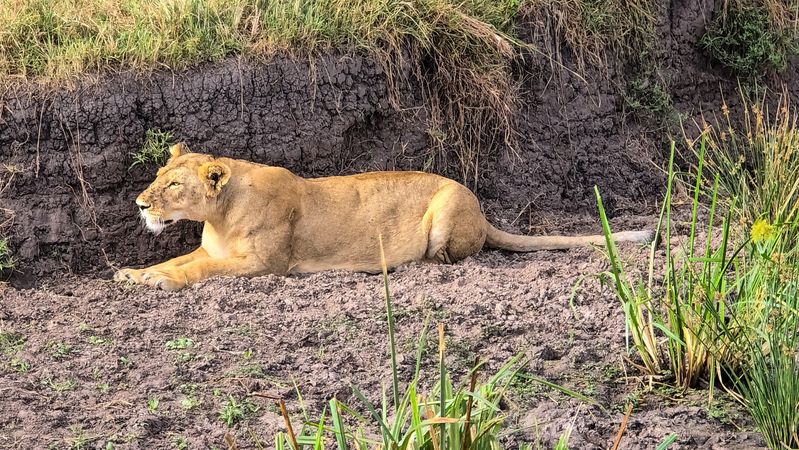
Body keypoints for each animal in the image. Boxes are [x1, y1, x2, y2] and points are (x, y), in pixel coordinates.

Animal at [114, 143, 653, 290]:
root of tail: (483, 210)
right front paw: (134, 274)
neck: (220, 216)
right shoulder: (213, 248)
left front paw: (159, 282)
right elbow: (179, 261)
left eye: (174, 185)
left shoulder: (268, 265)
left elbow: (201, 270)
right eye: (159, 175)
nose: (139, 204)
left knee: (450, 258)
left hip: (448, 207)